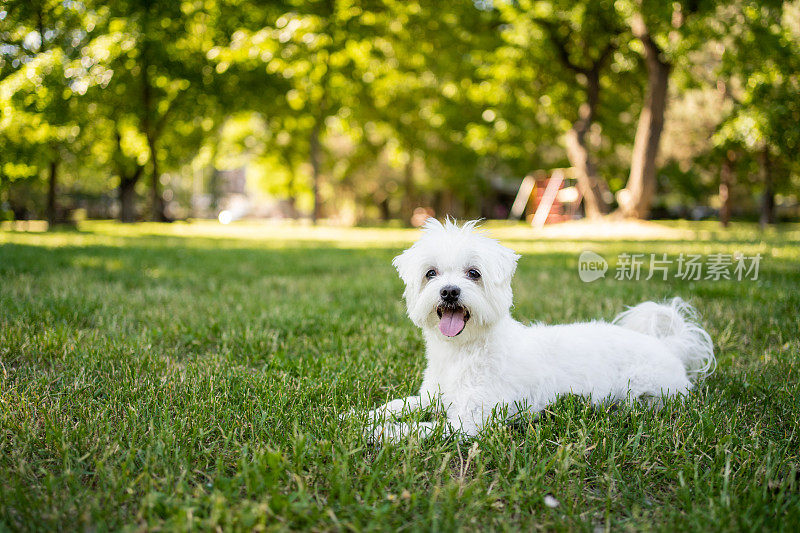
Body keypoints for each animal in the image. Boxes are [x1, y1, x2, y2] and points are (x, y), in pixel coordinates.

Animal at [366, 218, 716, 442]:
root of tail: (669, 346)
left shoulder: (472, 420)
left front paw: (380, 433)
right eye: (431, 273)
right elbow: (398, 406)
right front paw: (363, 416)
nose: (450, 291)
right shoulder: (432, 396)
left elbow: (422, 428)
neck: (463, 351)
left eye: (474, 273)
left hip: (648, 388)